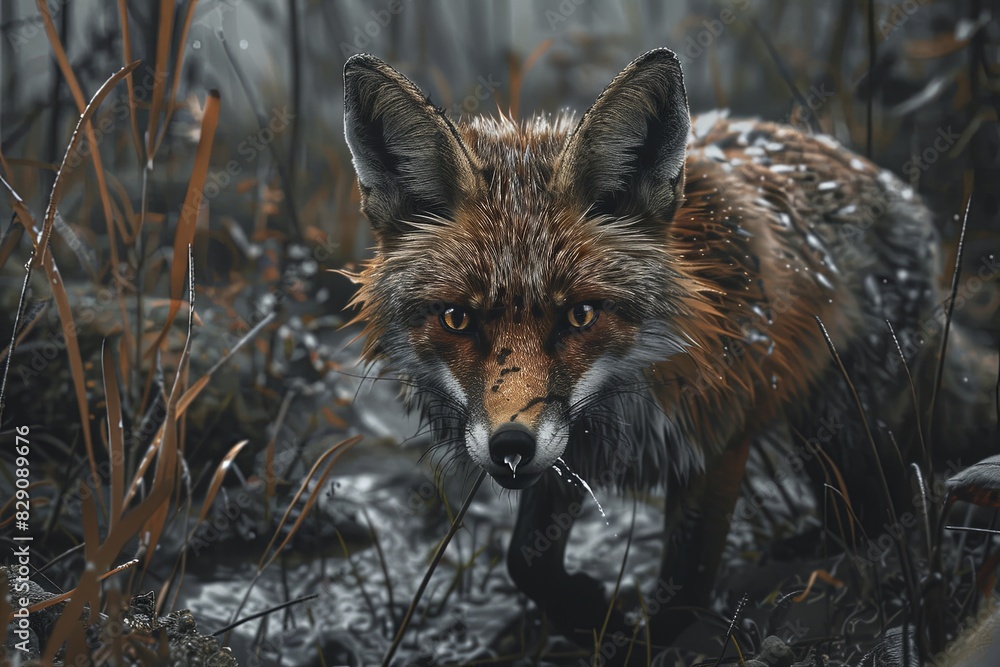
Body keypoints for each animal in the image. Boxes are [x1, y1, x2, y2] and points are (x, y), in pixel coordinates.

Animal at [341, 48, 997, 650]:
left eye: (580, 315)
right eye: (458, 319)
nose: (509, 448)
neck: (636, 379)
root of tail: (890, 184)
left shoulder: (716, 439)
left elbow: (684, 587)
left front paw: (643, 636)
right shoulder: (568, 453)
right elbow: (525, 560)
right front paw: (584, 610)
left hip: (839, 424)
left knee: (883, 514)